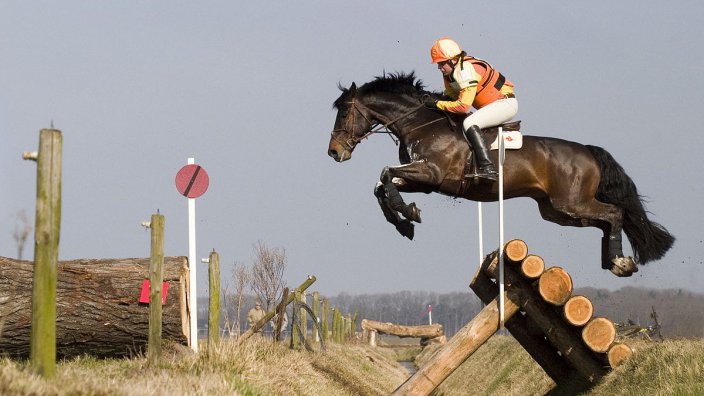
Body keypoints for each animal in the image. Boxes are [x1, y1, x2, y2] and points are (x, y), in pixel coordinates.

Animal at [328, 71, 672, 276]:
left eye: (344, 114)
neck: (421, 123)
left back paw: (619, 262)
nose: (334, 152)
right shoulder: (422, 180)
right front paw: (404, 221)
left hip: (570, 203)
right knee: (605, 220)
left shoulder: (432, 173)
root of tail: (588, 151)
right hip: (558, 211)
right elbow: (382, 186)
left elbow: (385, 174)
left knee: (614, 214)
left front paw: (407, 215)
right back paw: (613, 260)